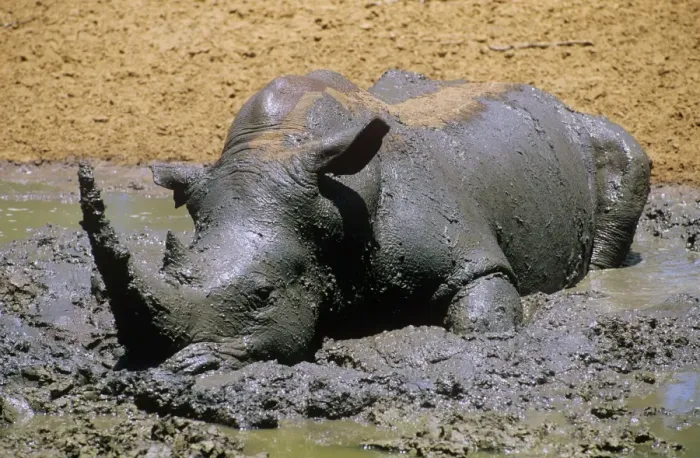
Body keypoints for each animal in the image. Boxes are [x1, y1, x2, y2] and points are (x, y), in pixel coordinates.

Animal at [79, 69, 650, 372]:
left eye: (263, 295)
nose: (154, 359)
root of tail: (552, 97)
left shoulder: (467, 255)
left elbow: (481, 305)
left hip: (593, 136)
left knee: (626, 160)